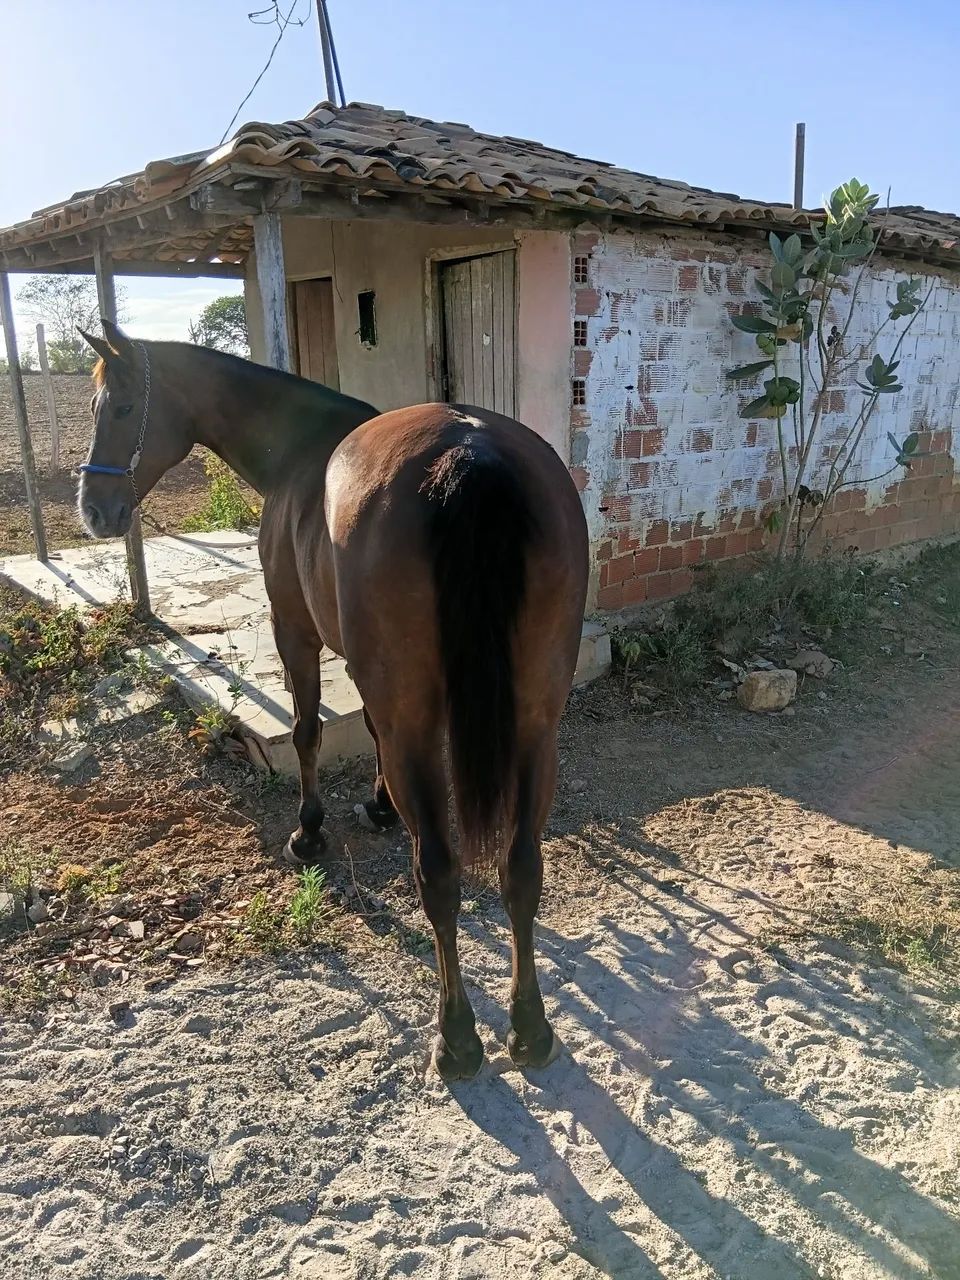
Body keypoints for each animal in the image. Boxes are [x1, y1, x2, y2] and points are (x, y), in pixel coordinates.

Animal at [78, 320, 589, 1079]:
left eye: (116, 408)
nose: (94, 510)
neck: (299, 448)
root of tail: (471, 453)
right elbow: (368, 730)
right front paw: (377, 805)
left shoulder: (295, 630)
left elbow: (308, 731)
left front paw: (309, 831)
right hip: (535, 726)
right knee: (521, 868)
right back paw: (530, 1029)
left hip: (424, 722)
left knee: (439, 876)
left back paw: (457, 1038)